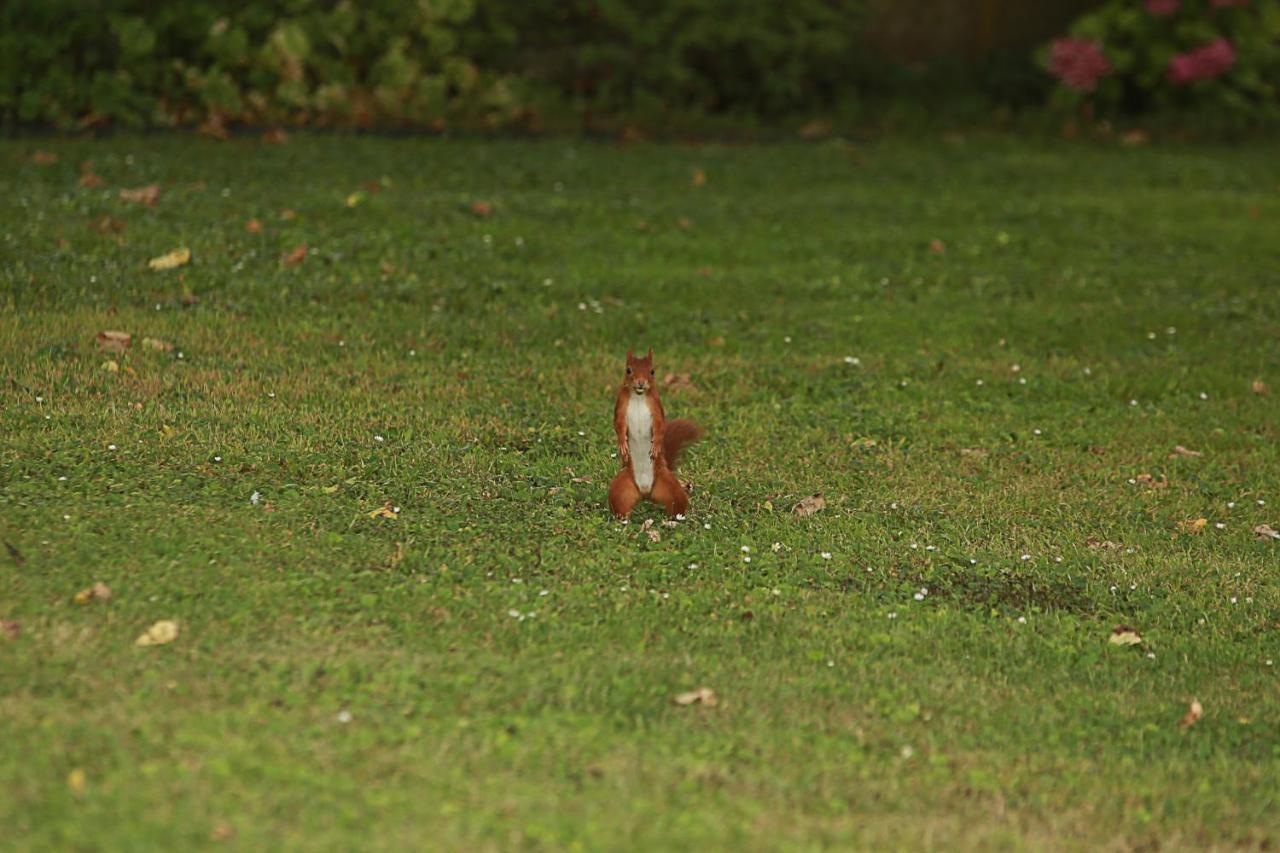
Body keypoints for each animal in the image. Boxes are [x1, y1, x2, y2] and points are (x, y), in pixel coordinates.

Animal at [606, 348, 701, 517]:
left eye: (652, 371)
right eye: (628, 370)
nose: (641, 382)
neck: (639, 397)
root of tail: (645, 493)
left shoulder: (656, 406)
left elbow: (659, 426)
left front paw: (656, 445)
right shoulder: (620, 406)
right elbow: (618, 425)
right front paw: (622, 444)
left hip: (669, 484)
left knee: (677, 502)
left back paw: (675, 519)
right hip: (621, 487)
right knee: (619, 502)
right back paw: (623, 518)